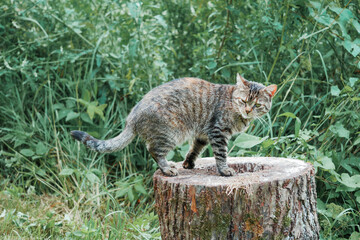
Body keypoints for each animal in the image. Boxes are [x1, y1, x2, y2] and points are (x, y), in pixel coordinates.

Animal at [71, 74, 278, 177]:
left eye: (257, 105)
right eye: (243, 101)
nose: (248, 110)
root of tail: (132, 115)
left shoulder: (203, 134)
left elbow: (194, 150)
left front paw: (188, 163)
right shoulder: (218, 132)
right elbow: (221, 155)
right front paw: (224, 170)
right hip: (171, 134)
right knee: (154, 150)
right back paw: (167, 169)